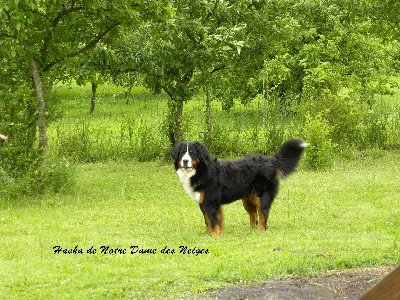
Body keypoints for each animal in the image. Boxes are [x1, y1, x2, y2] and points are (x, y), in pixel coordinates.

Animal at [171, 139, 306, 236]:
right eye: (182, 153)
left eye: (192, 153)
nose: (185, 161)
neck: (201, 171)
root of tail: (271, 160)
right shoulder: (203, 202)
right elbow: (208, 220)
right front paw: (208, 233)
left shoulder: (211, 202)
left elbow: (214, 221)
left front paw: (215, 235)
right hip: (248, 200)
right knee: (253, 215)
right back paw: (250, 230)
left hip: (261, 197)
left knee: (263, 215)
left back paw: (260, 231)